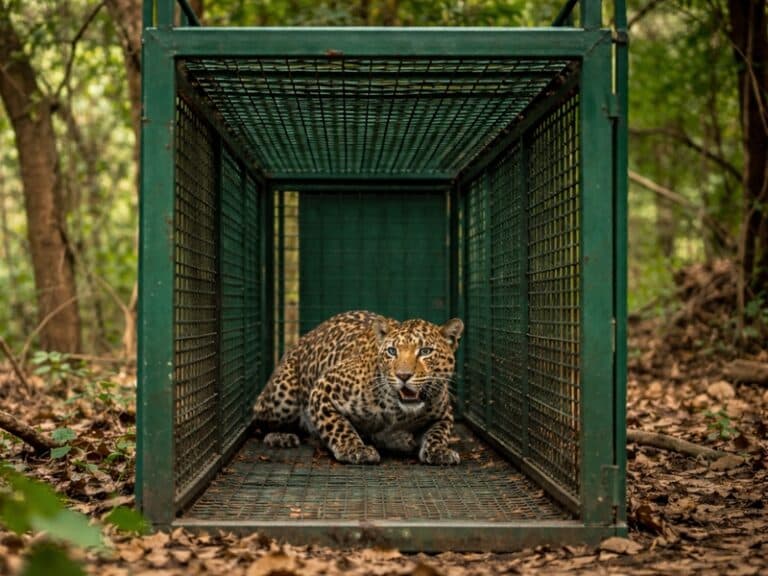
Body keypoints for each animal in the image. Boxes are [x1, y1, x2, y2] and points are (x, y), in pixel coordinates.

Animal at [253, 310, 464, 465]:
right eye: (391, 351)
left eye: (426, 351)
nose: (403, 376)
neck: (399, 412)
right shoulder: (324, 388)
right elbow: (338, 425)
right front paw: (355, 449)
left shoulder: (444, 411)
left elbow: (439, 432)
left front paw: (439, 450)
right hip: (282, 397)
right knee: (260, 421)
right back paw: (280, 437)